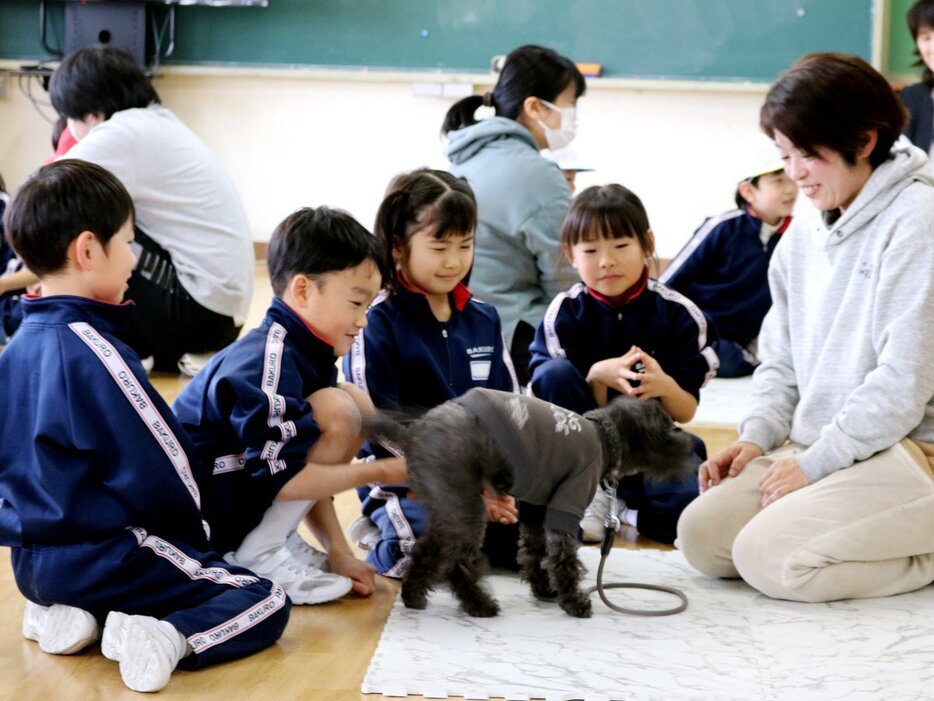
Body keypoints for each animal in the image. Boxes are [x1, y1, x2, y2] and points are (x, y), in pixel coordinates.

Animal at [366, 388, 696, 616]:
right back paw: (479, 604)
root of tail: (412, 434)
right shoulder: (567, 504)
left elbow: (534, 552)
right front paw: (573, 601)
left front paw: (543, 588)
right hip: (466, 510)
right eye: (668, 426)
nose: (689, 444)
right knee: (457, 562)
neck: (604, 437)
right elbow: (562, 558)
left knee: (426, 551)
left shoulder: (537, 509)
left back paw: (413, 595)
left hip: (448, 505)